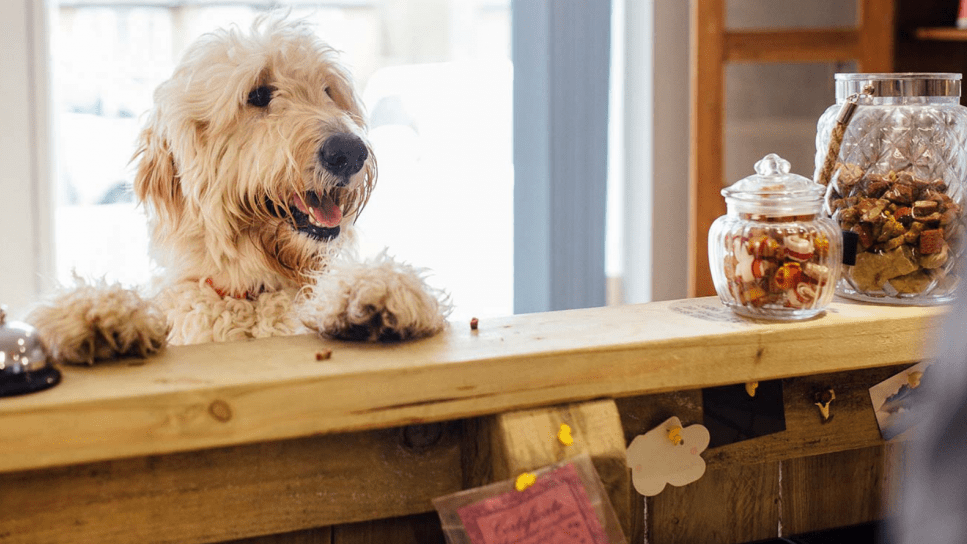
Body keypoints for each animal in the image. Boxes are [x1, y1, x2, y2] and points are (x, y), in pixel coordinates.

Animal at [29, 18, 450, 366]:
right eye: (259, 95)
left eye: (328, 91)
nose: (349, 151)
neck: (252, 293)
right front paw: (98, 311)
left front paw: (377, 288)